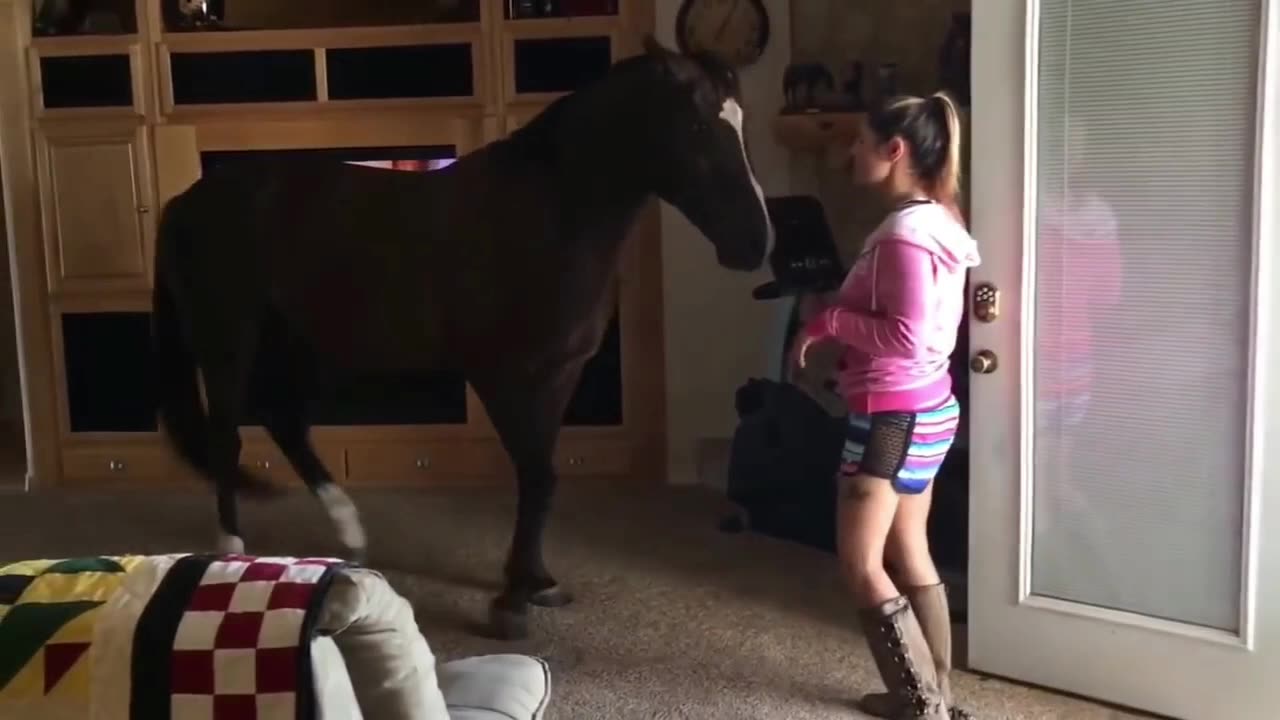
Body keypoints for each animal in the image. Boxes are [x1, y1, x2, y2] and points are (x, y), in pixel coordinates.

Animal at [149, 36, 768, 635]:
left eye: (741, 125)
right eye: (696, 127)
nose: (755, 244)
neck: (550, 217)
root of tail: (183, 202)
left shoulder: (559, 375)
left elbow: (542, 478)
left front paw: (536, 582)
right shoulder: (504, 377)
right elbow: (536, 476)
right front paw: (513, 601)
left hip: (300, 345)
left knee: (285, 423)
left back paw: (350, 534)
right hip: (229, 340)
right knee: (228, 437)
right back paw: (231, 553)